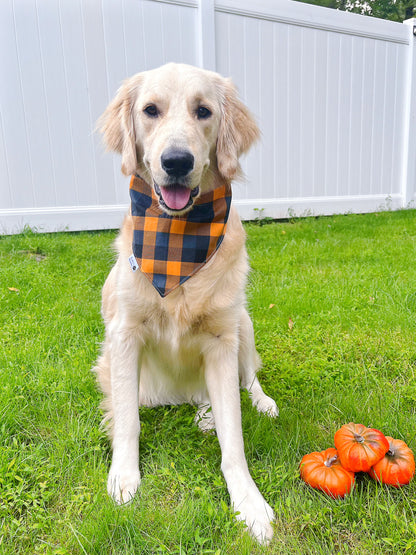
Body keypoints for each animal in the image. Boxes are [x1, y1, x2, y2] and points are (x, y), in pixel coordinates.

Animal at [92, 63, 278, 544]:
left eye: (204, 111)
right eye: (150, 110)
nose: (177, 161)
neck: (177, 240)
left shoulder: (222, 340)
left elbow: (234, 438)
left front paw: (249, 503)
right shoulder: (123, 335)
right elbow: (127, 419)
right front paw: (124, 477)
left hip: (244, 323)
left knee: (248, 380)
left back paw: (258, 402)